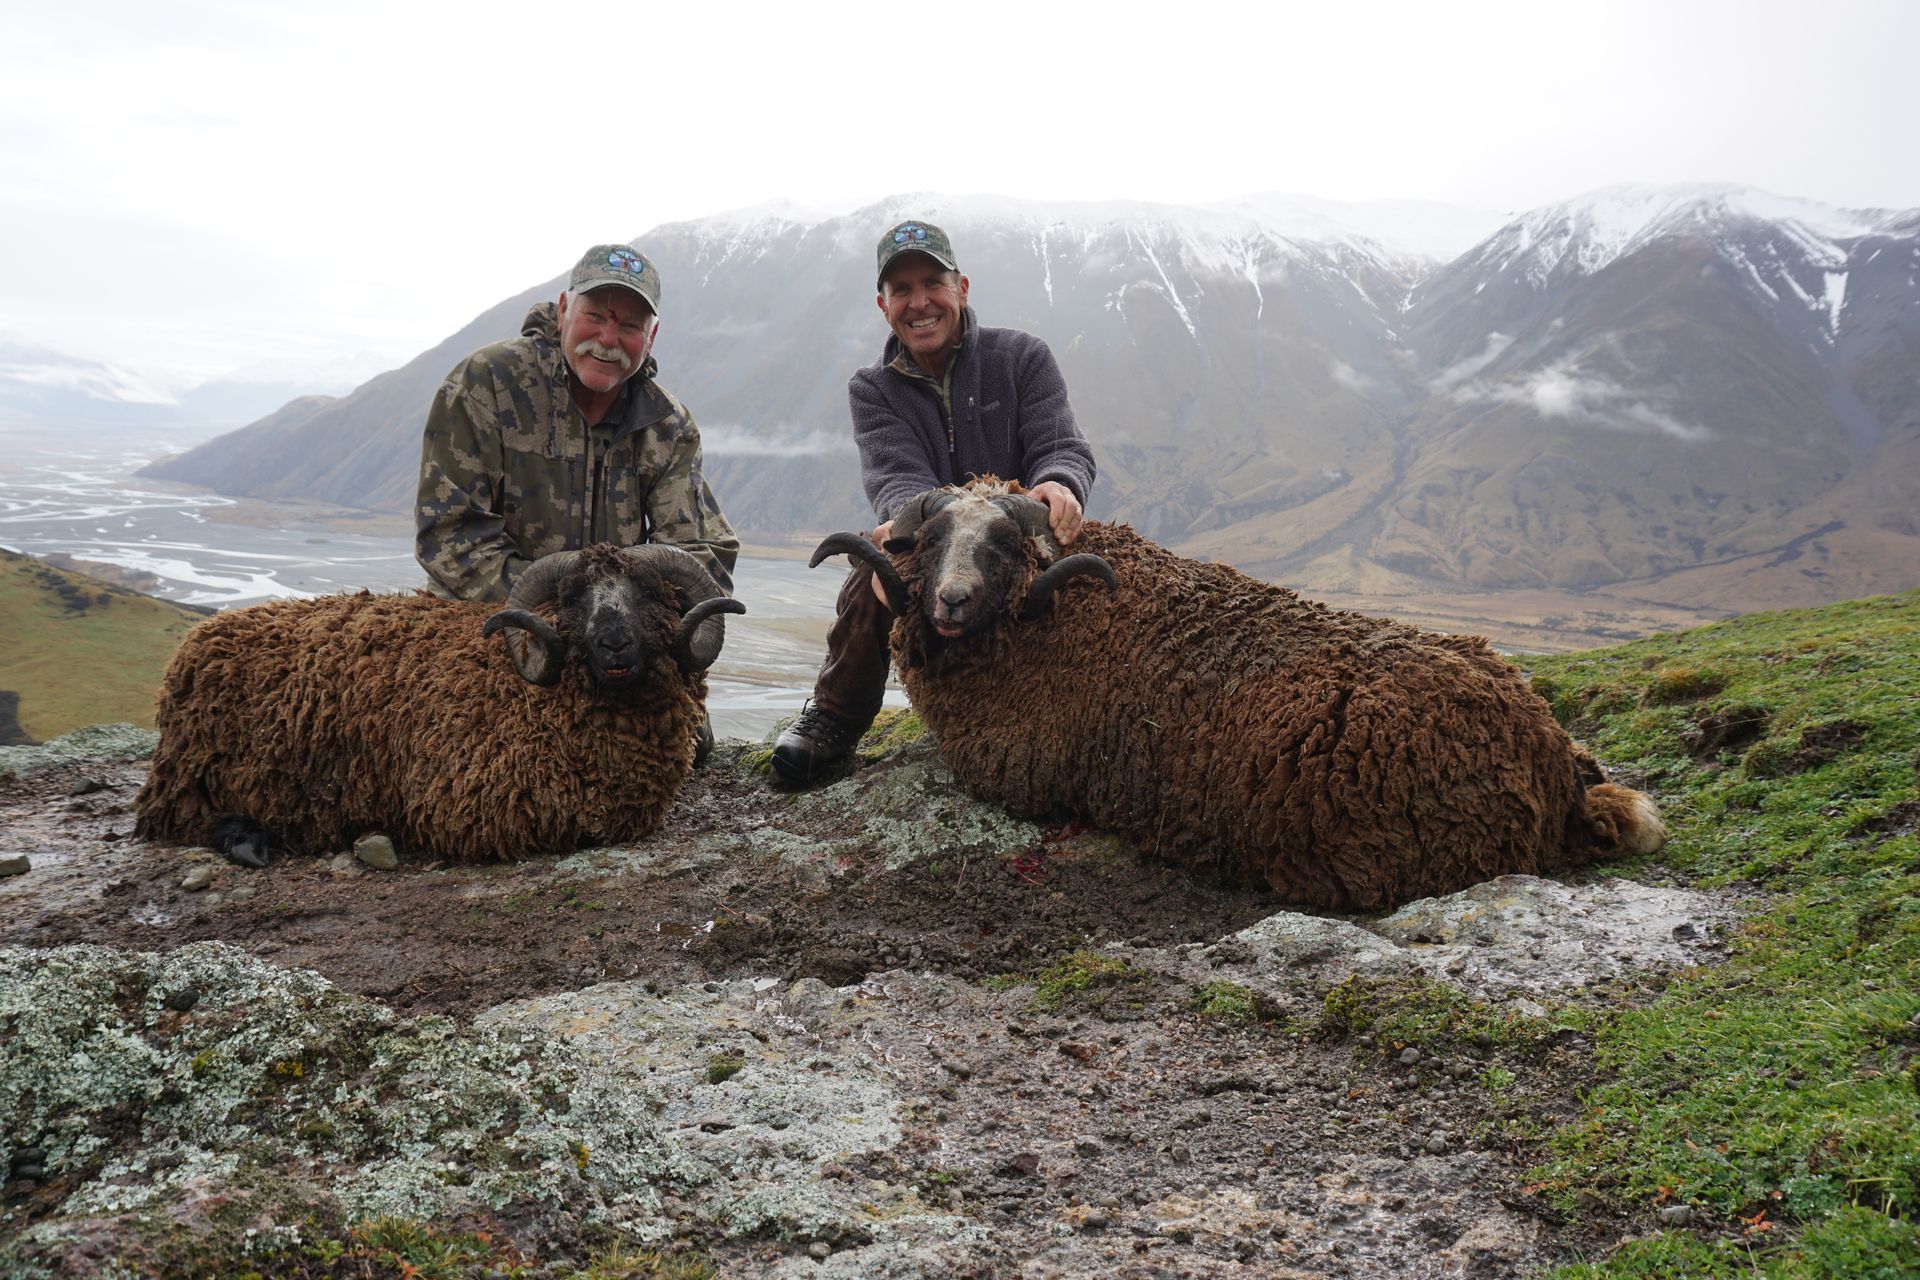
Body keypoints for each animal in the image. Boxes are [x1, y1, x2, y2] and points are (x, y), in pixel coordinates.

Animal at [134, 544, 743, 864]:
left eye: (648, 593)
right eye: (574, 599)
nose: (614, 644)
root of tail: (195, 642)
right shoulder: (471, 810)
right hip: (197, 779)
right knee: (186, 821)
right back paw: (252, 843)